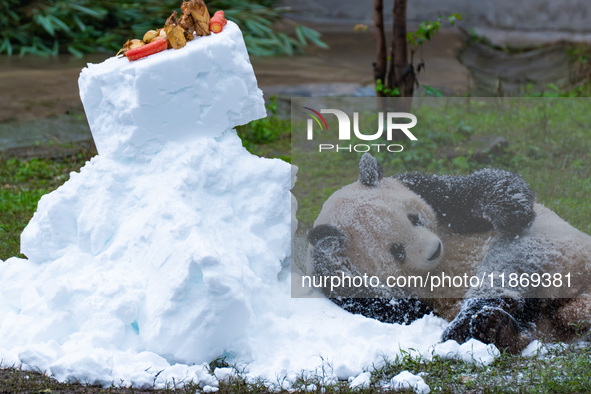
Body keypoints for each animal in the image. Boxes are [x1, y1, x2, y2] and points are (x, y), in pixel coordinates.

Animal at [310, 152, 591, 352]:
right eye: (397, 251)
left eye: (414, 219)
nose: (434, 250)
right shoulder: (344, 279)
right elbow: (397, 309)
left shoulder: (423, 189)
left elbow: (473, 191)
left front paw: (512, 213)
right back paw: (492, 329)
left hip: (549, 246)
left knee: (505, 270)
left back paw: (481, 324)